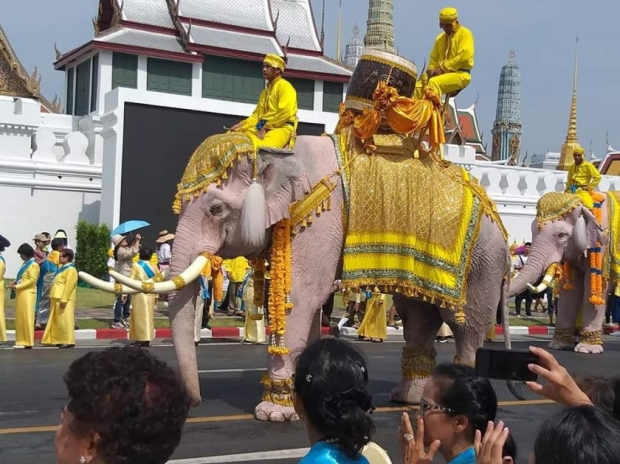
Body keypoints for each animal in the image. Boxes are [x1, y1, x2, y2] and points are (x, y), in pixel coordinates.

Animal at [508, 190, 620, 354]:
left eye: (561, 235)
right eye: (533, 231)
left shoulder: (603, 245)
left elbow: (594, 291)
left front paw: (587, 349)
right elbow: (571, 290)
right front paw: (558, 345)